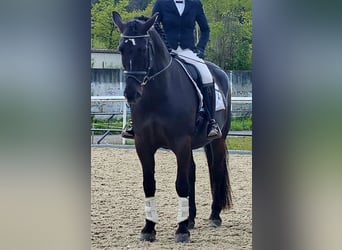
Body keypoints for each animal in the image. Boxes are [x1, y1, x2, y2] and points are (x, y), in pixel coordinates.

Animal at [112, 11, 232, 244]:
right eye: (121, 49)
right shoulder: (143, 145)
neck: (156, 96)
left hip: (217, 140)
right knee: (192, 171)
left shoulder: (180, 142)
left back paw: (214, 216)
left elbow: (181, 184)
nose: (131, 94)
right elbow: (149, 184)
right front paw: (149, 228)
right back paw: (191, 218)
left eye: (143, 49)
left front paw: (181, 230)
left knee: (216, 170)